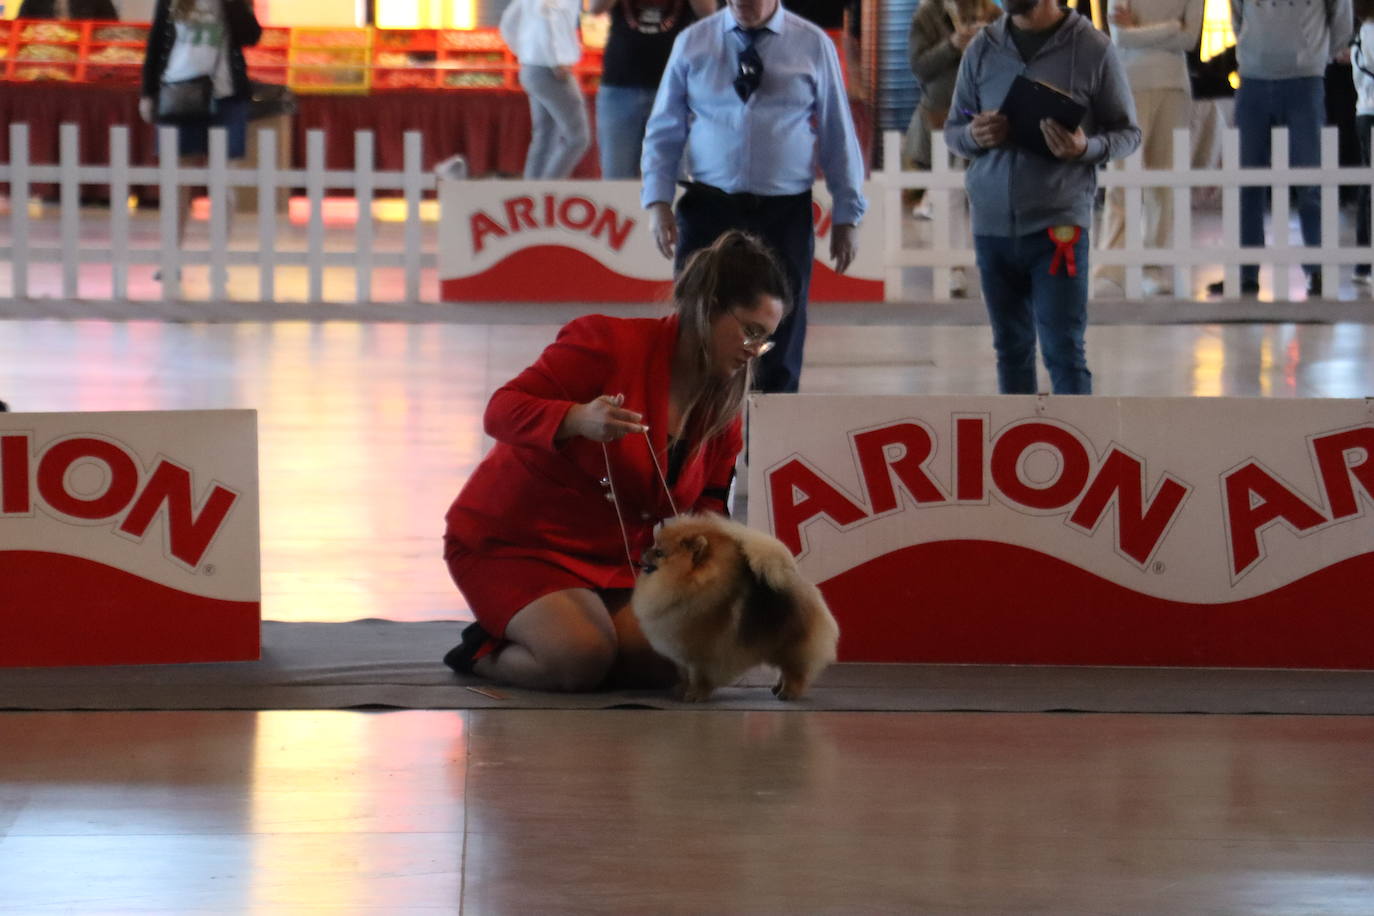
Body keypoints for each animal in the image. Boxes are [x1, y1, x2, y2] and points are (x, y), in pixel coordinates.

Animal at [629, 516, 835, 703]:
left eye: (659, 553)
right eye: (653, 545)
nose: (643, 551)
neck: (691, 586)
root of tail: (795, 579)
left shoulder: (700, 655)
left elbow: (697, 677)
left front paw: (695, 695)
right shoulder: (683, 656)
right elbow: (685, 674)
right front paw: (682, 690)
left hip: (791, 646)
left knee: (794, 672)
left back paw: (788, 693)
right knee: (783, 670)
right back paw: (777, 688)